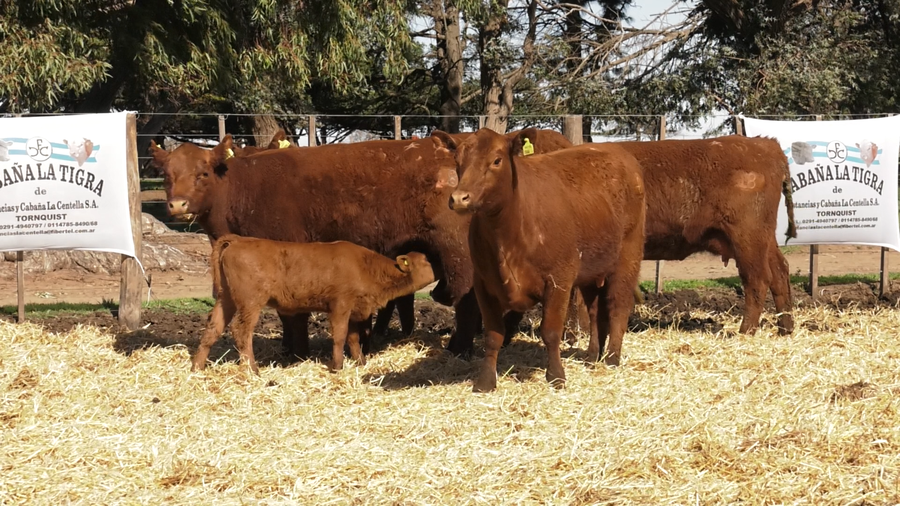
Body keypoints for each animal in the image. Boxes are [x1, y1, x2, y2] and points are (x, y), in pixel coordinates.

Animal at [192, 234, 434, 373]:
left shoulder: (353, 309)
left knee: (213, 329)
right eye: (426, 261)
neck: (366, 266)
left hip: (226, 299)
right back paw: (253, 370)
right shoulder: (340, 305)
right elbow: (339, 336)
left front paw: (360, 362)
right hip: (250, 302)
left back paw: (197, 367)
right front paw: (337, 366)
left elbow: (353, 338)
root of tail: (238, 240)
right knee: (241, 331)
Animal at [437, 127, 646, 392]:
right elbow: (493, 335)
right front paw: (485, 381)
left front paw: (556, 376)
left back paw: (612, 358)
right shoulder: (483, 283)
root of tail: (617, 152)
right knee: (595, 310)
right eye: (457, 161)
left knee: (618, 305)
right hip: (591, 269)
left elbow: (551, 331)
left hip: (628, 257)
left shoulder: (559, 279)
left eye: (496, 160)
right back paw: (592, 356)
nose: (459, 198)